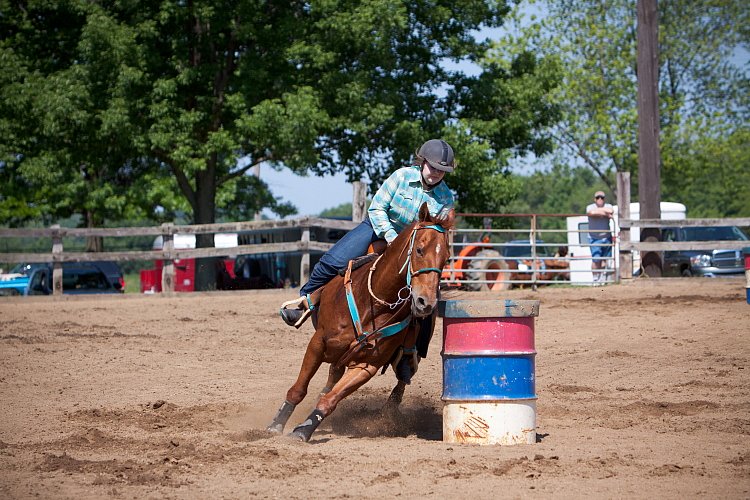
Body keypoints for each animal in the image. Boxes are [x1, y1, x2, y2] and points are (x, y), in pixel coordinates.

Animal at [268, 203, 452, 442]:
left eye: (446, 258)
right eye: (420, 250)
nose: (425, 303)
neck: (373, 302)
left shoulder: (367, 365)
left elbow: (330, 400)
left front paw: (304, 429)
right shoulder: (317, 343)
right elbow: (298, 389)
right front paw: (276, 424)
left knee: (401, 380)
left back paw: (388, 413)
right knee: (333, 372)